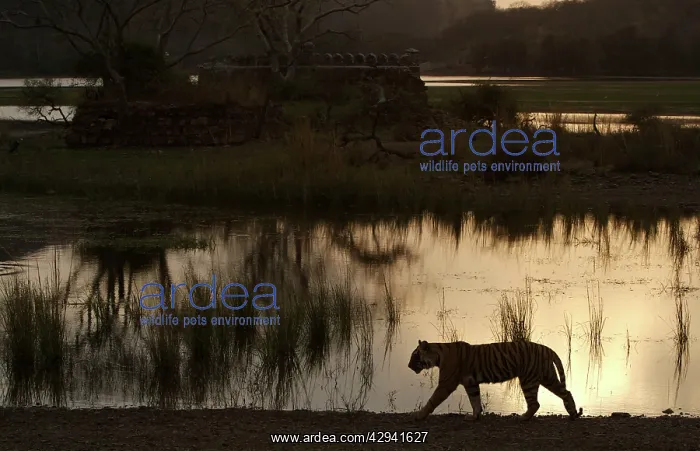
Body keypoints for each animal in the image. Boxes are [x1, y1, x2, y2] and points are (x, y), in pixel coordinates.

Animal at [408, 339, 583, 421]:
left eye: (415, 355)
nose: (409, 366)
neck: (439, 355)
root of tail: (546, 348)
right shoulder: (471, 383)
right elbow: (475, 401)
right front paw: (474, 417)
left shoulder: (446, 383)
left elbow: (432, 400)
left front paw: (419, 415)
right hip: (546, 377)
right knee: (564, 392)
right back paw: (573, 413)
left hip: (530, 380)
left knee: (537, 402)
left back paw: (523, 417)